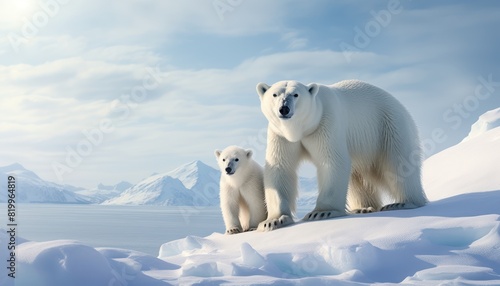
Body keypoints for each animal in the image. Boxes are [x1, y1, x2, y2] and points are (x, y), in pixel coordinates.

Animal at [258, 79, 426, 231]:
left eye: (295, 94)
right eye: (274, 94)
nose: (284, 109)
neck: (302, 129)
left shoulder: (326, 124)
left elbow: (332, 161)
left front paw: (321, 213)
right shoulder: (280, 135)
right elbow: (280, 168)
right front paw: (273, 221)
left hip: (389, 125)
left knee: (399, 163)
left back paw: (403, 202)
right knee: (358, 177)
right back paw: (363, 208)